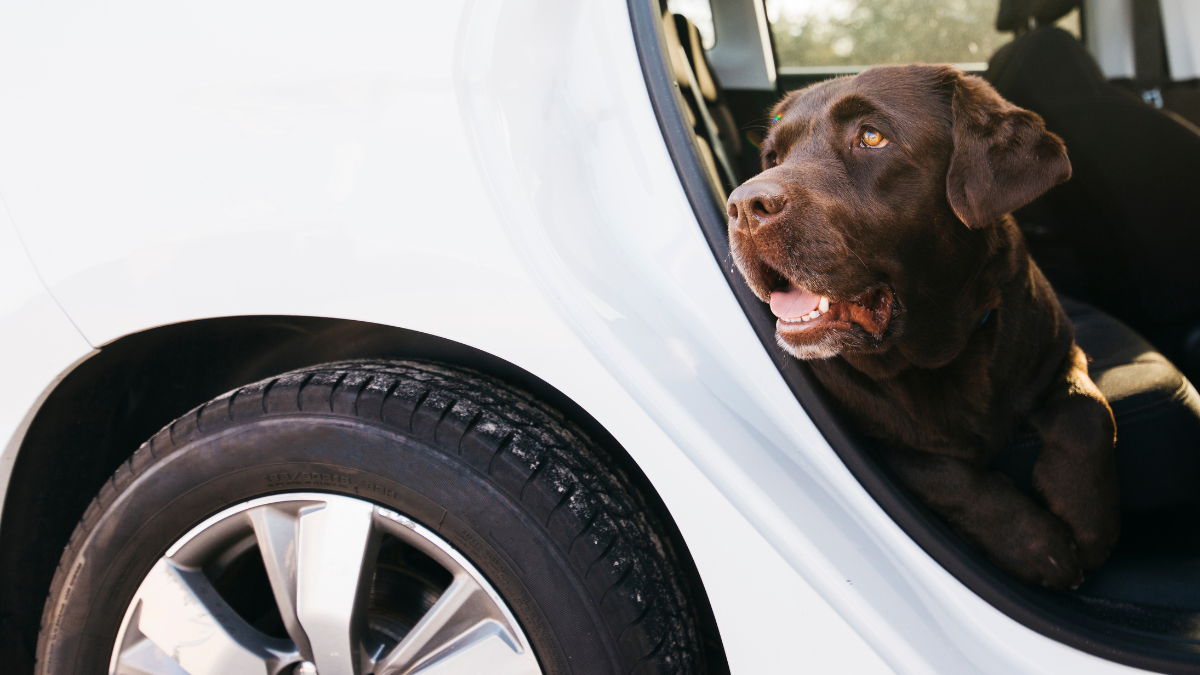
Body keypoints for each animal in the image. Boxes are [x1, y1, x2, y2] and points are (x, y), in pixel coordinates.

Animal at [724, 64, 1118, 588]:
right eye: (774, 156)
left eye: (871, 136)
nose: (743, 205)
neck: (939, 350)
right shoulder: (877, 446)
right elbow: (949, 476)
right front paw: (1039, 545)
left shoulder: (1060, 347)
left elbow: (1087, 410)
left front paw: (1088, 519)